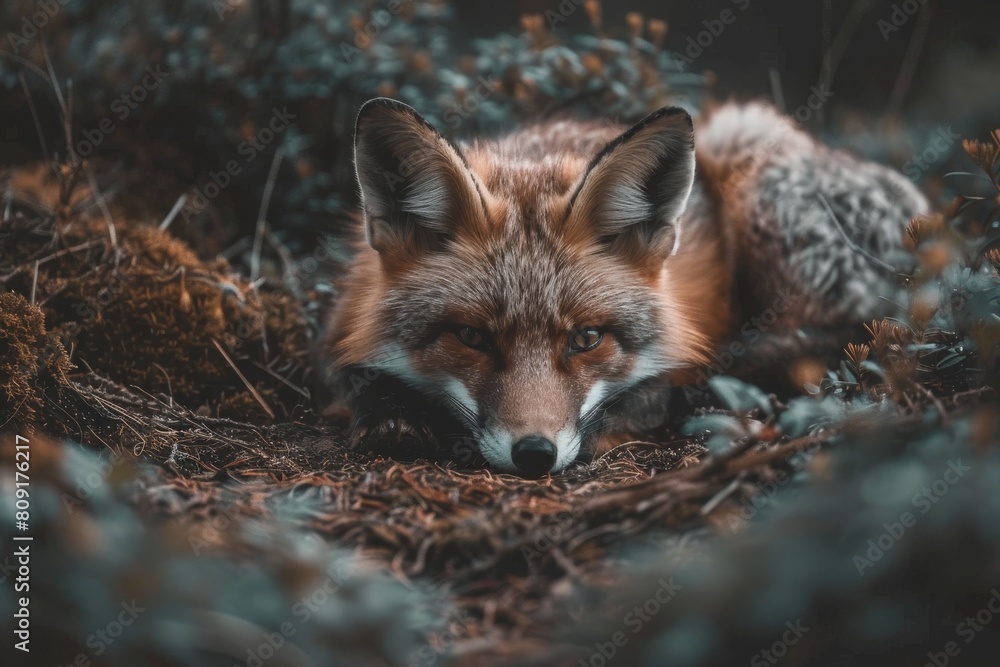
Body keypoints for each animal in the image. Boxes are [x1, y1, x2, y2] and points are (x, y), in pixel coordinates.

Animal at [320, 97, 928, 476]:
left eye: (587, 339)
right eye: (471, 338)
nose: (535, 454)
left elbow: (644, 398)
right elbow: (353, 380)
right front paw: (393, 414)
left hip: (748, 151)